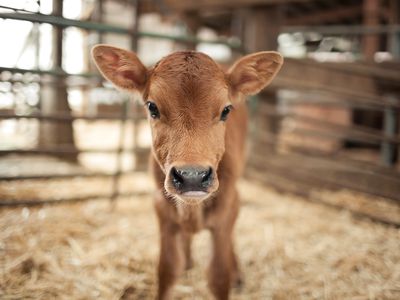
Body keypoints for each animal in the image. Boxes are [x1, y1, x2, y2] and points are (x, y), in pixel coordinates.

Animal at [92, 45, 282, 298]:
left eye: (226, 110)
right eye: (152, 107)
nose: (193, 176)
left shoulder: (227, 208)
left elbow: (219, 276)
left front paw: (230, 274)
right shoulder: (162, 209)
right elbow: (167, 270)